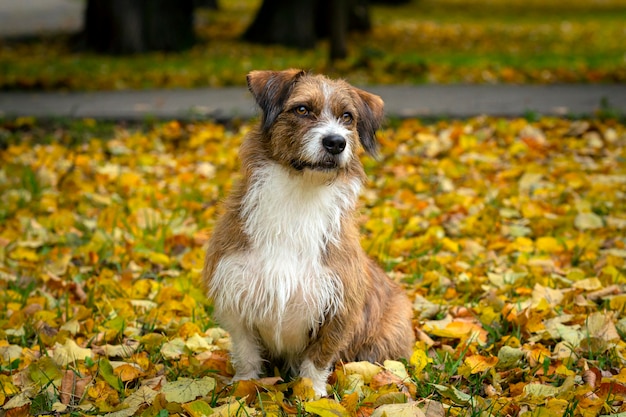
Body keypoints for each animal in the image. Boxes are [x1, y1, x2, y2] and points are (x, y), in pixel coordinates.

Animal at [202, 69, 412, 396]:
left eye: (347, 117)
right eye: (302, 109)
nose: (336, 142)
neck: (299, 196)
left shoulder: (339, 306)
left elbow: (318, 358)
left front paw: (311, 394)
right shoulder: (236, 297)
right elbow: (247, 352)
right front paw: (244, 386)